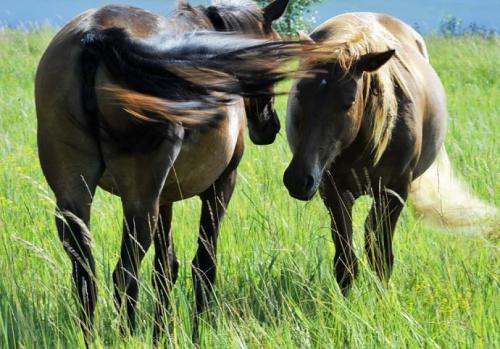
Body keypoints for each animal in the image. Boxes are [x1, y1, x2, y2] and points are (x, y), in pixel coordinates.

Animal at [36, 0, 304, 342]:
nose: (270, 126)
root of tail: (94, 35)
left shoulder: (164, 198)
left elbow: (165, 267)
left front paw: (162, 334)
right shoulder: (220, 185)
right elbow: (203, 264)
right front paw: (198, 333)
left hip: (75, 196)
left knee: (86, 277)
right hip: (139, 201)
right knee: (124, 274)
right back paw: (128, 336)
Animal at [284, 14, 498, 294]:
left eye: (349, 102)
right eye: (299, 93)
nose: (298, 179)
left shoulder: (394, 191)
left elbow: (381, 255)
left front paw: (382, 298)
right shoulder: (333, 191)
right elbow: (345, 260)